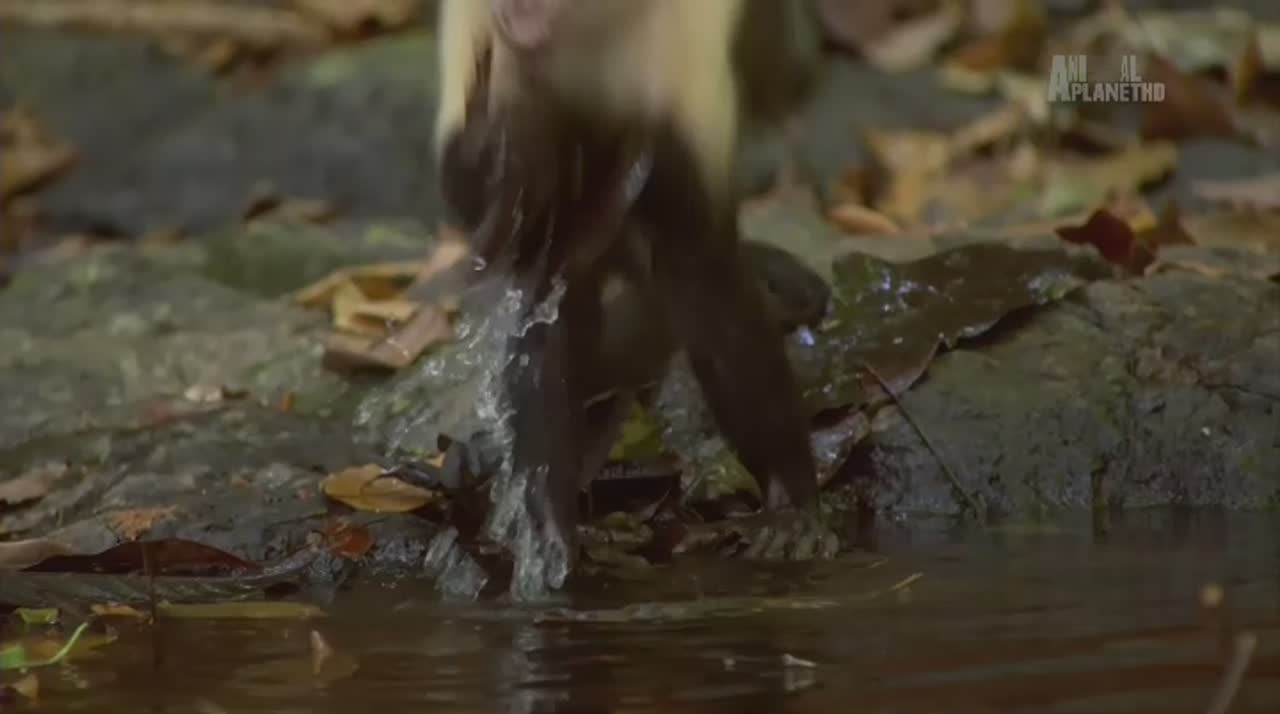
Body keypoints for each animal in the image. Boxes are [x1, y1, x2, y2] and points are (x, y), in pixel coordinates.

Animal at [433, 0, 838, 594]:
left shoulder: (681, 47)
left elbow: (703, 273)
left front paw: (791, 505)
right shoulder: (475, 29)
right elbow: (519, 247)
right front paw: (547, 529)